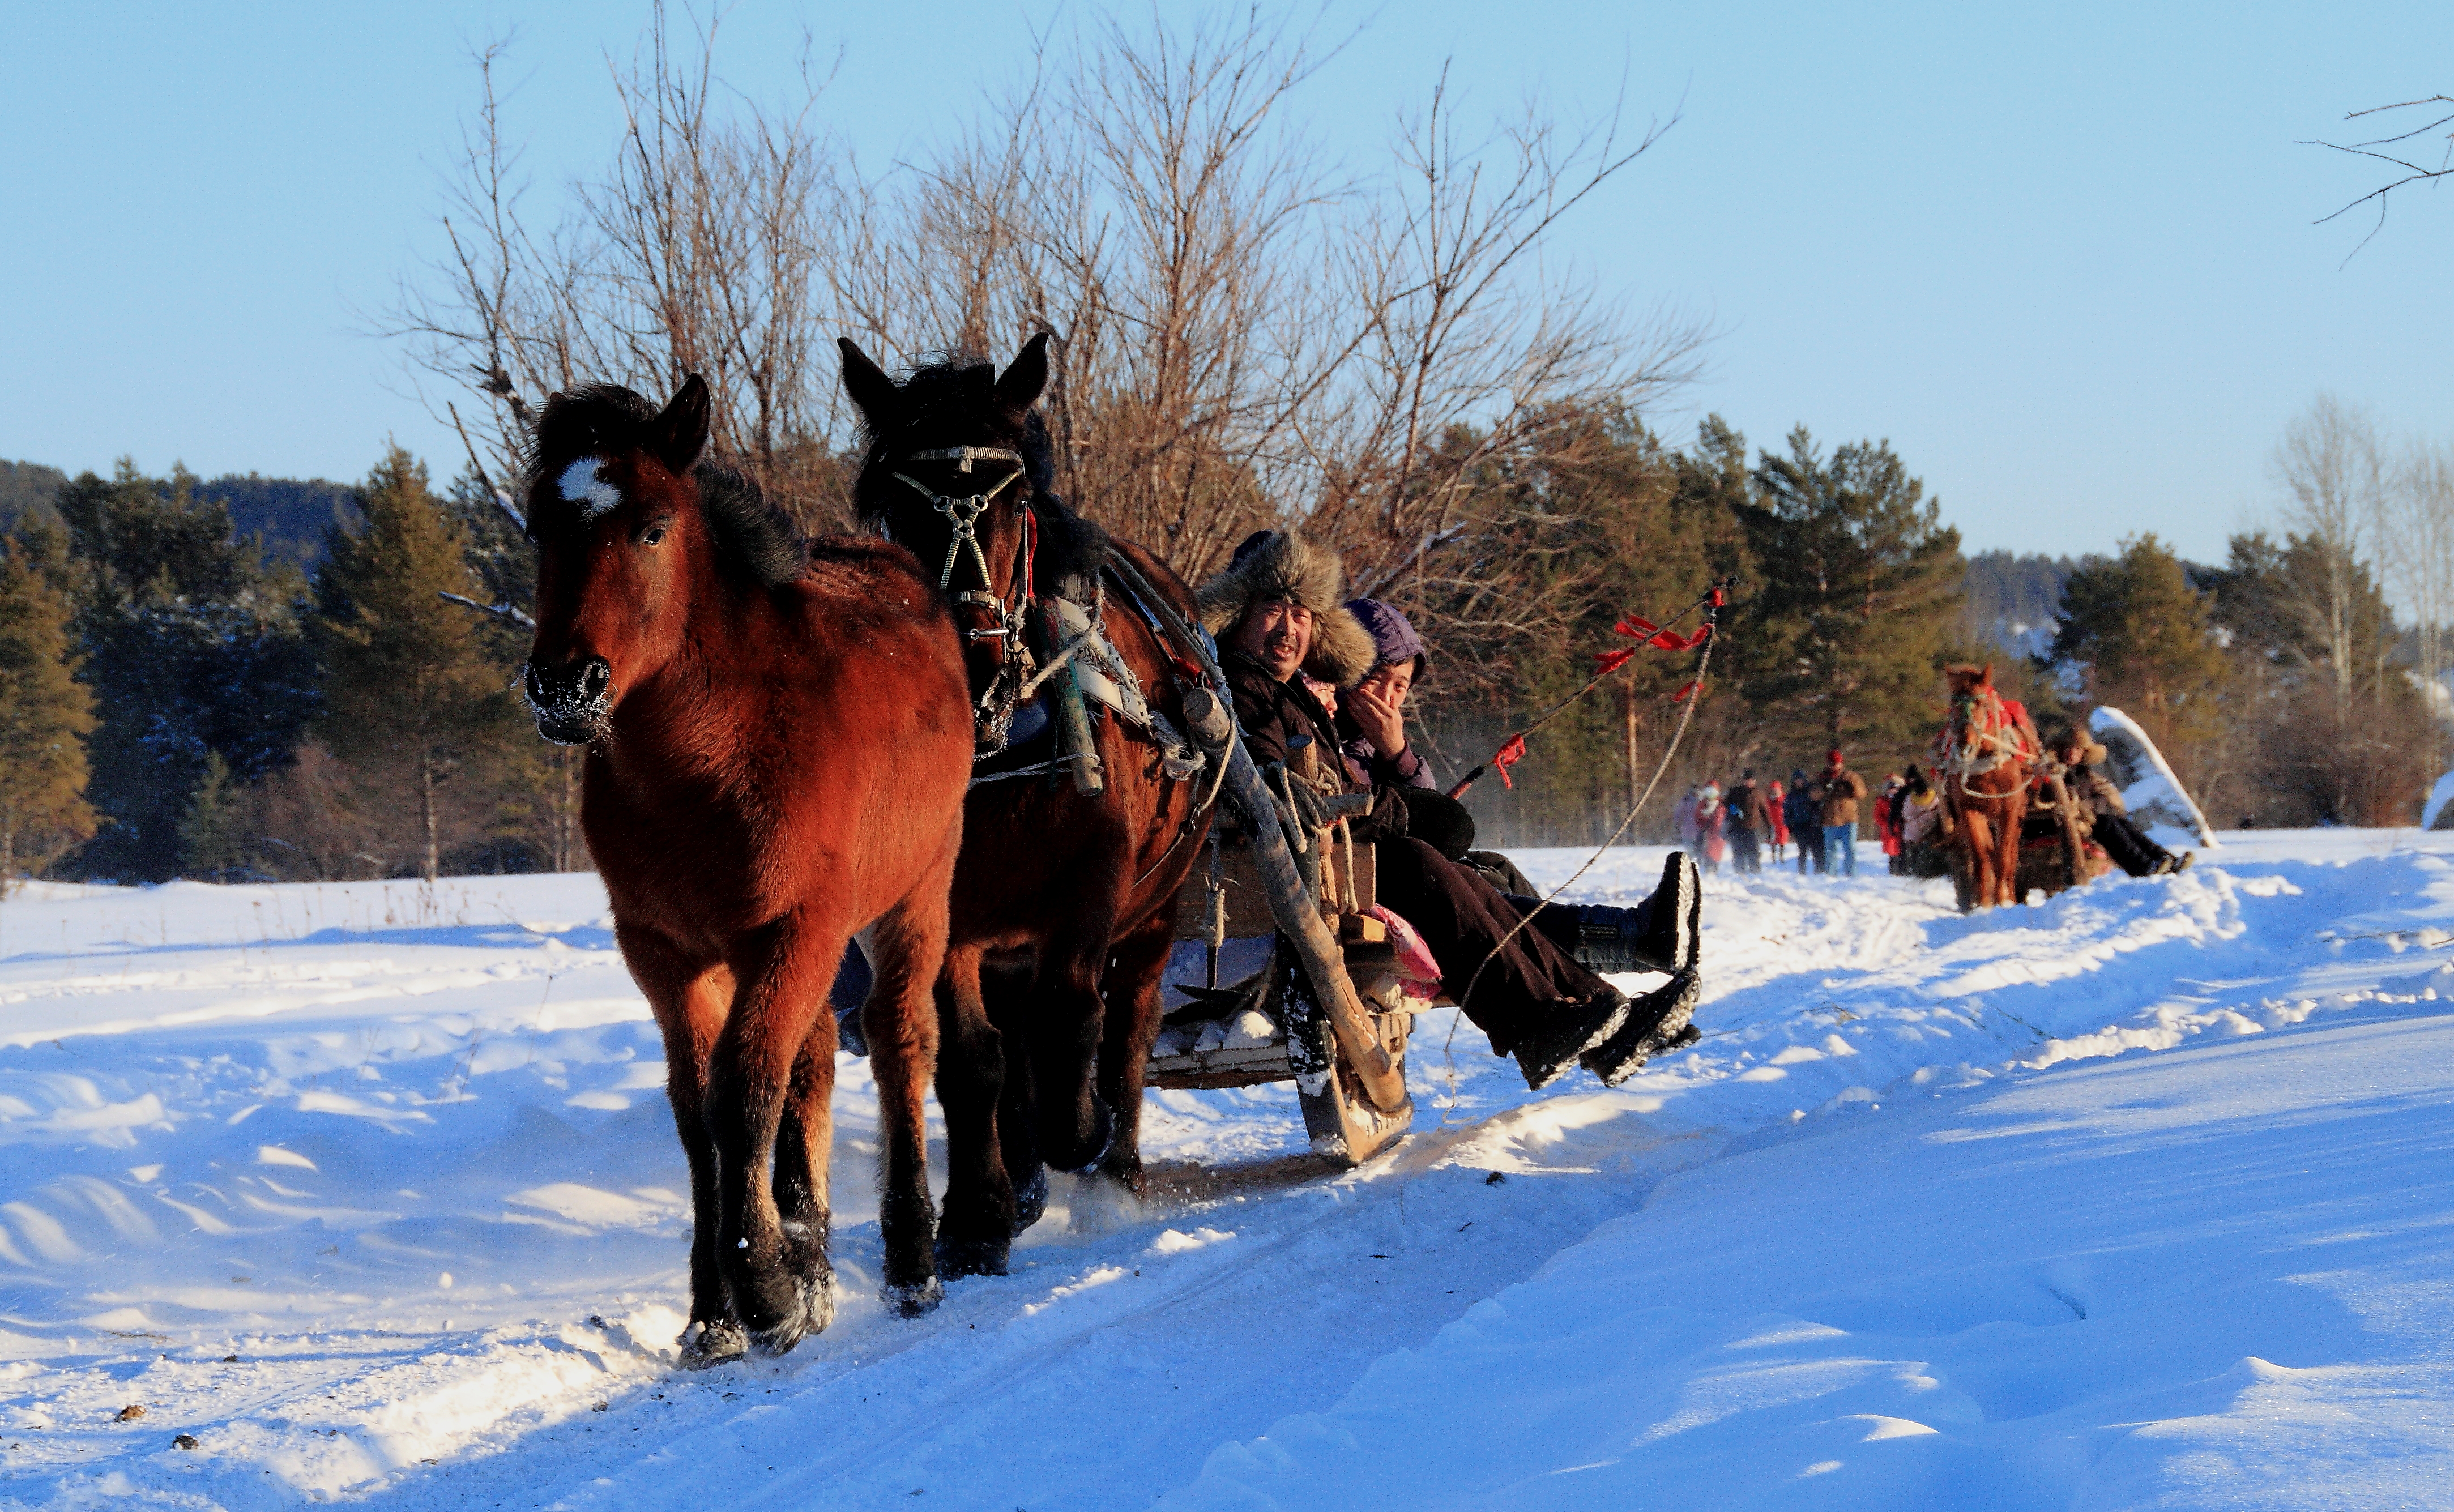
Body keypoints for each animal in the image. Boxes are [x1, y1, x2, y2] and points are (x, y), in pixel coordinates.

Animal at [522, 375, 971, 1355]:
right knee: (815, 1065)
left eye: (652, 527)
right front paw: (716, 1310)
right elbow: (700, 1113)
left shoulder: (793, 926)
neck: (713, 755)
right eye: (537, 527)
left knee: (897, 1045)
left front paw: (764, 1286)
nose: (565, 686)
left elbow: (743, 1095)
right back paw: (814, 1250)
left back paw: (913, 1263)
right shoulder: (664, 949)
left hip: (912, 899)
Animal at [844, 336, 1217, 1286]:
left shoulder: (1091, 887)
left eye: (1013, 502)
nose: (971, 659)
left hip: (1160, 900)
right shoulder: (947, 912)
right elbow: (973, 1060)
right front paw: (978, 1215)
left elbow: (1074, 1019)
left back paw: (1113, 1162)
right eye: (899, 509)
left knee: (1128, 1022)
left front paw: (1077, 1132)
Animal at [1934, 663, 2032, 908]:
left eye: (1980, 703)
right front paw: (1985, 904)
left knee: (2010, 857)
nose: (1964, 746)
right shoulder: (1968, 808)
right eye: (1953, 702)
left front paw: (2002, 902)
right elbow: (1981, 858)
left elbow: (2004, 858)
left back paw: (2009, 895)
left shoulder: (2011, 807)